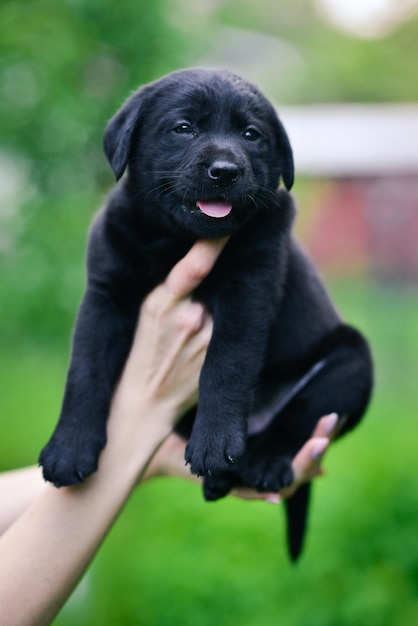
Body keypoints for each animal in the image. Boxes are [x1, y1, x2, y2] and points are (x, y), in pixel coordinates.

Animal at [40, 67, 372, 556]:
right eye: (183, 127)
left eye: (251, 135)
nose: (225, 171)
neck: (175, 241)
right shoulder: (105, 294)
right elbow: (85, 370)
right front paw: (70, 446)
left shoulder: (249, 288)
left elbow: (225, 364)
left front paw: (214, 442)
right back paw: (221, 480)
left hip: (351, 361)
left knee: (298, 417)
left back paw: (261, 461)